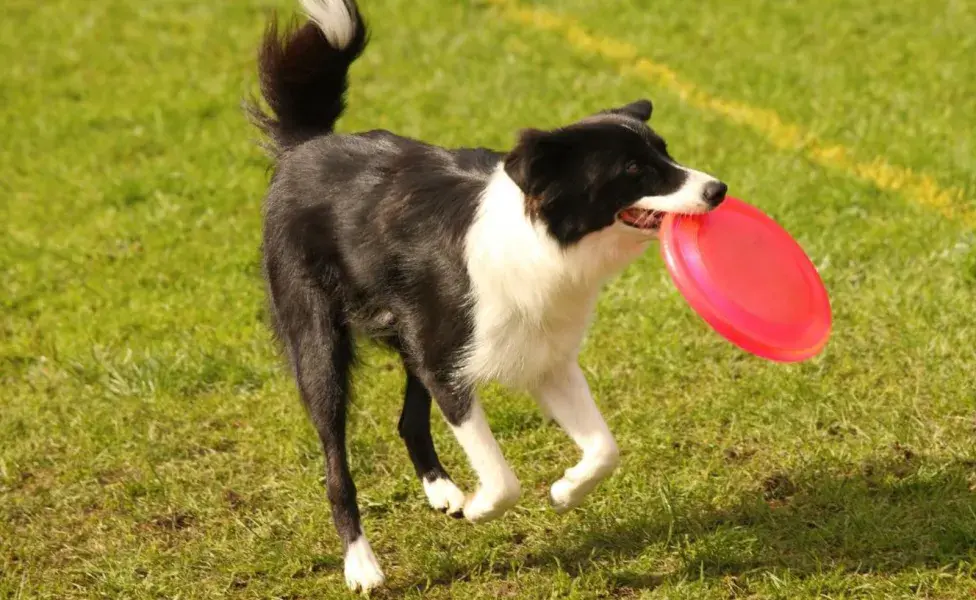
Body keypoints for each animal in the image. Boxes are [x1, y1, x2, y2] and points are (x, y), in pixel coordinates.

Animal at [250, 0, 724, 592]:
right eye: (634, 169)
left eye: (666, 153)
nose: (718, 190)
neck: (541, 239)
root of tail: (307, 144)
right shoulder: (448, 367)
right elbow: (502, 478)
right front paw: (483, 507)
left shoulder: (545, 357)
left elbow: (605, 449)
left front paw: (566, 489)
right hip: (320, 343)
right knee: (336, 464)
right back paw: (361, 564)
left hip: (412, 332)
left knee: (408, 421)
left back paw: (442, 491)